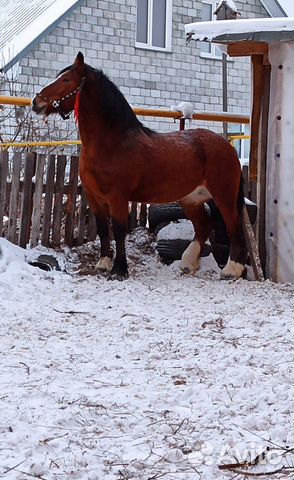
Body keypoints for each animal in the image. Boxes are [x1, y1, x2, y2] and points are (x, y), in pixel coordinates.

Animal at [32, 51, 248, 282]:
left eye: (66, 80)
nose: (36, 102)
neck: (112, 144)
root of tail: (227, 146)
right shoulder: (94, 197)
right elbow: (103, 229)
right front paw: (103, 264)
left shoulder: (117, 197)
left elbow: (118, 230)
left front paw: (119, 270)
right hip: (191, 199)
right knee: (203, 226)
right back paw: (188, 264)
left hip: (224, 197)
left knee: (234, 226)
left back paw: (231, 269)